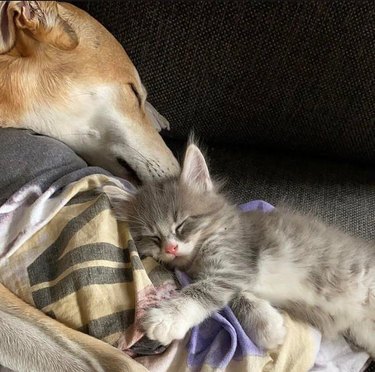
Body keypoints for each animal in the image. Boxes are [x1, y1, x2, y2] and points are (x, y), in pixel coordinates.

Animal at [103, 143, 375, 358]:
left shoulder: (235, 261)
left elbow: (202, 291)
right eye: (153, 237)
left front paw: (166, 318)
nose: (171, 247)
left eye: (182, 224)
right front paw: (269, 327)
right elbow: (237, 297)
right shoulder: (233, 274)